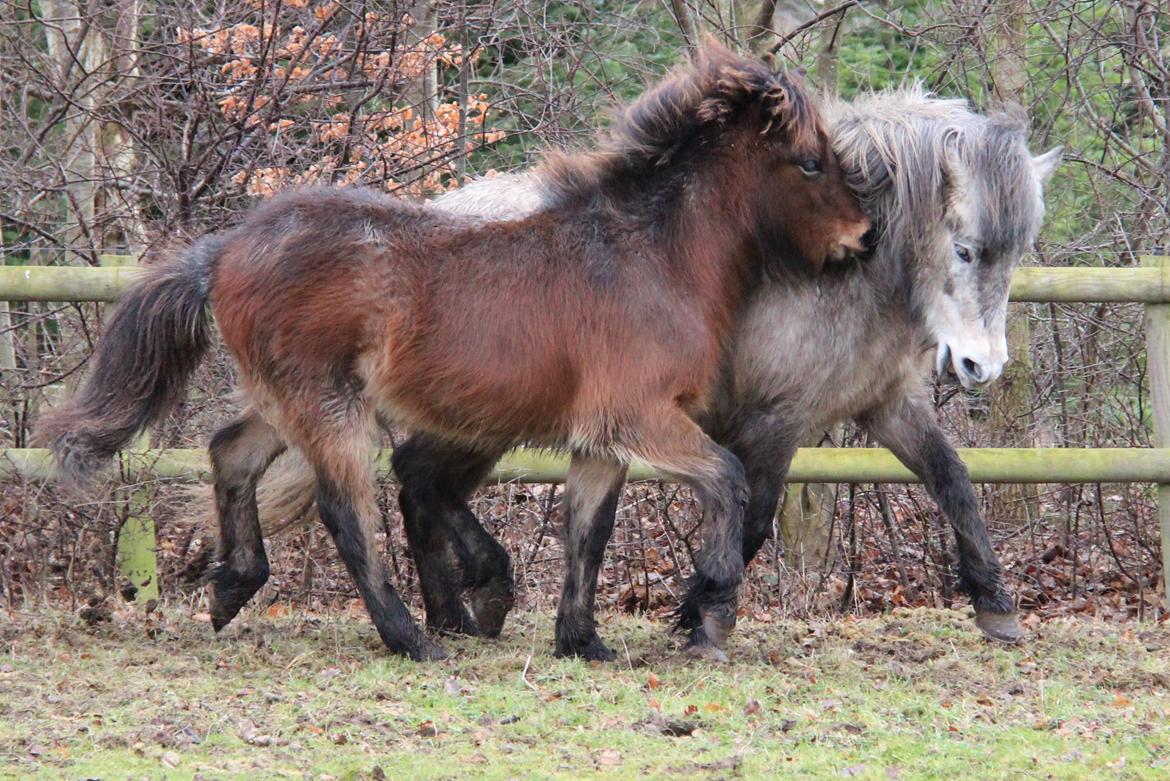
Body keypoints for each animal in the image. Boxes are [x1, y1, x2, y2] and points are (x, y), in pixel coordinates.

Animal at [38, 42, 870, 664]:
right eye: (809, 162)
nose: (863, 239)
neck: (648, 257)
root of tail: (227, 249)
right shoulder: (641, 417)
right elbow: (727, 478)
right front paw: (710, 609)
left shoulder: (602, 437)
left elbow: (587, 534)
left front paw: (583, 640)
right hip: (330, 408)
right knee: (347, 511)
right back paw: (410, 637)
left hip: (287, 402)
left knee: (231, 453)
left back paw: (232, 586)